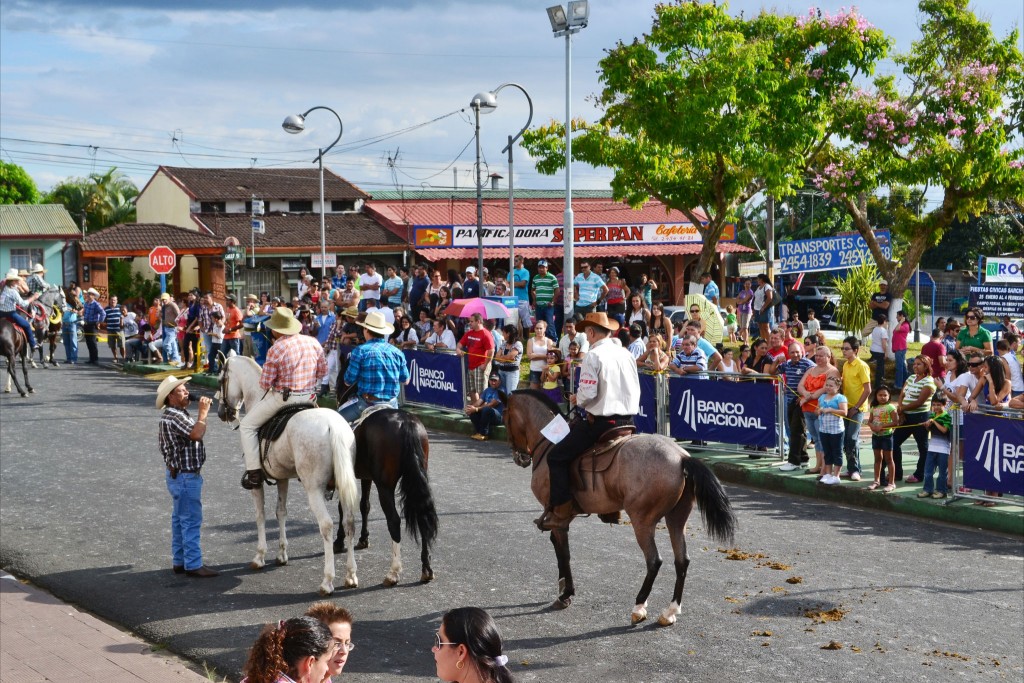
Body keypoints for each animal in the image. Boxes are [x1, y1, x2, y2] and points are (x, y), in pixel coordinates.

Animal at [216, 356, 360, 593]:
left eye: (221, 380)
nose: (222, 413)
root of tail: (334, 427)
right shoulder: (282, 478)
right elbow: (281, 512)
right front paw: (282, 554)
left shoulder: (257, 483)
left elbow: (260, 514)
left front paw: (260, 556)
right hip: (344, 487)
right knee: (349, 523)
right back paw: (350, 575)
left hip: (313, 490)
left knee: (327, 525)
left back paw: (327, 580)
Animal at [331, 409, 436, 585]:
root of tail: (405, 421)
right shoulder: (366, 477)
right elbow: (364, 505)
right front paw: (363, 538)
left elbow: (342, 509)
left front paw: (339, 541)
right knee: (422, 519)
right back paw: (426, 569)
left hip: (385, 486)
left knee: (394, 521)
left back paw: (393, 572)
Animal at [503, 393, 737, 626]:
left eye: (505, 417)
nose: (520, 457)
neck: (550, 442)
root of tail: (681, 458)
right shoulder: (562, 519)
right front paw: (564, 589)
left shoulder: (559, 518)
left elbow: (563, 553)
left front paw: (565, 594)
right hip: (677, 519)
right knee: (682, 561)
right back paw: (670, 611)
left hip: (642, 521)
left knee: (654, 561)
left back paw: (639, 607)